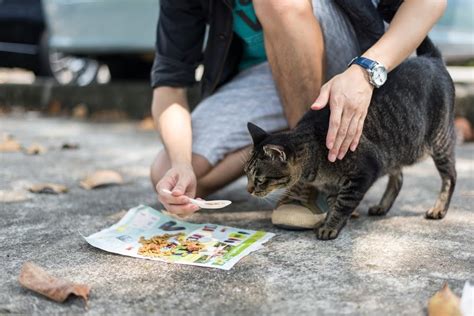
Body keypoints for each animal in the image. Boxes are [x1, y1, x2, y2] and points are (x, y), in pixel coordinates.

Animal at [244, 37, 456, 239]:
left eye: (260, 179)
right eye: (246, 174)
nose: (249, 190)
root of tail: (431, 58)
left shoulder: (362, 173)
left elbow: (342, 204)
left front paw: (330, 227)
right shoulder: (331, 186)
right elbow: (333, 203)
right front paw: (330, 221)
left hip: (440, 141)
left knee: (450, 176)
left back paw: (439, 208)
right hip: (393, 150)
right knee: (398, 177)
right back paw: (382, 206)